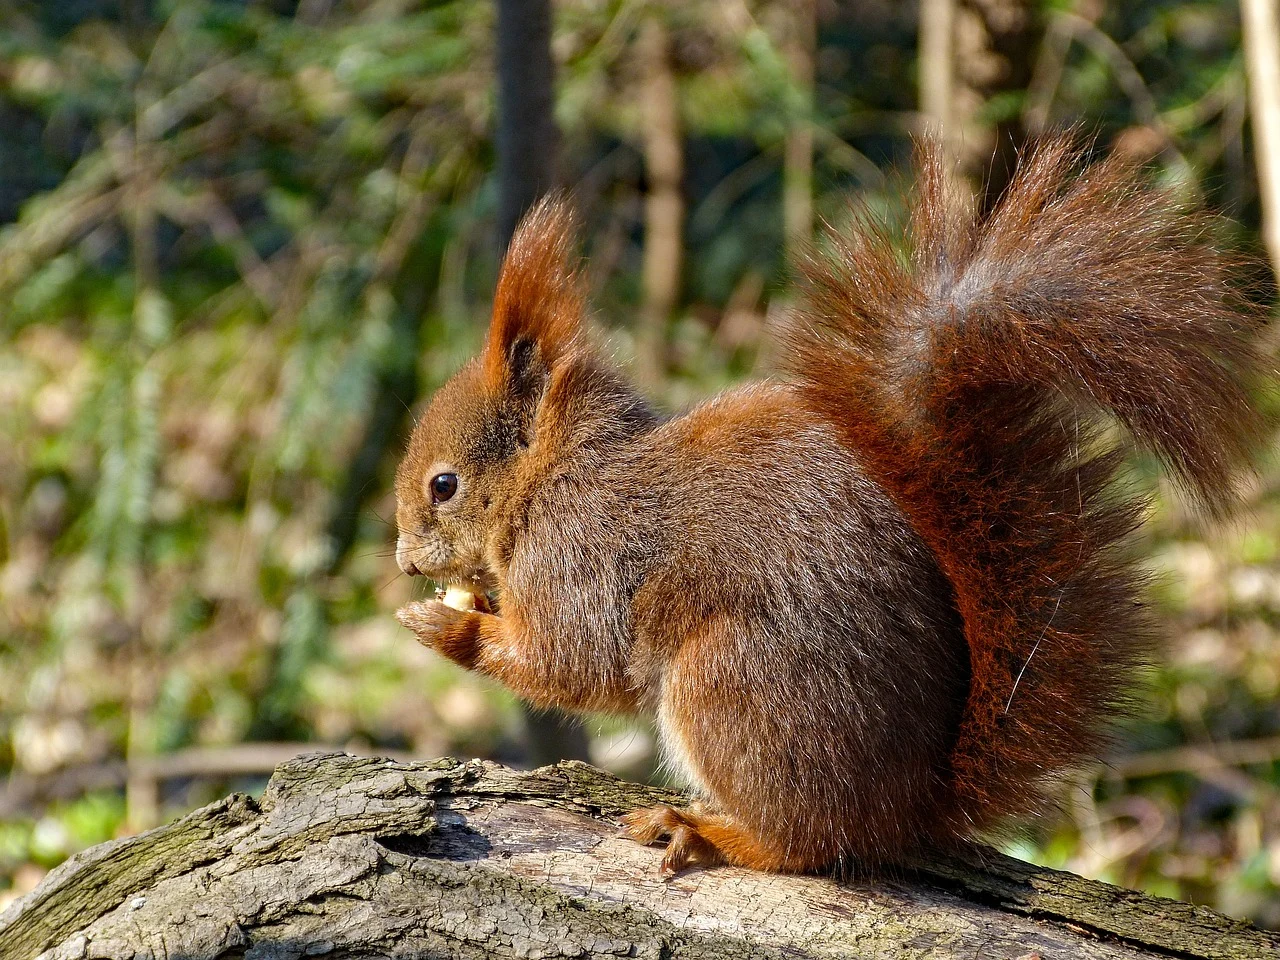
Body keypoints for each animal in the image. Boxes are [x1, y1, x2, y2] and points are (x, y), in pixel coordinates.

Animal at [394, 136, 1264, 880]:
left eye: (444, 485)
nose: (402, 563)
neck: (556, 476)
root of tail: (907, 807)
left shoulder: (580, 554)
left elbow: (572, 662)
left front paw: (447, 626)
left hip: (730, 684)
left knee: (807, 845)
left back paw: (709, 831)